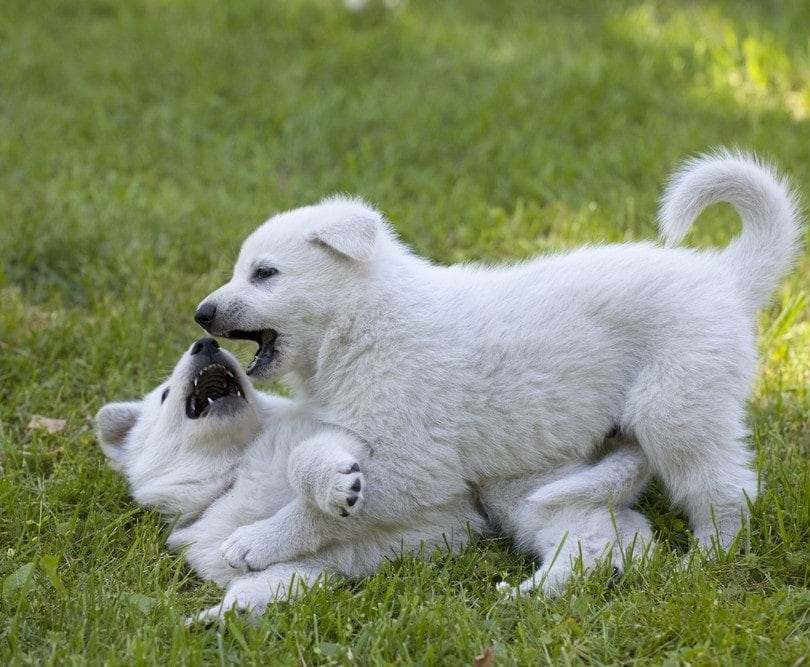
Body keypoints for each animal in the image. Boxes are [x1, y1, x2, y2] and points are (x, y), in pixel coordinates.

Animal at [194, 151, 800, 588]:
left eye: (264, 273)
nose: (202, 314)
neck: (365, 321)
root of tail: (724, 277)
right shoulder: (355, 428)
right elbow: (307, 459)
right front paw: (332, 487)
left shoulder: (421, 466)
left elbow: (322, 506)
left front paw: (256, 542)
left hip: (676, 407)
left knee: (726, 489)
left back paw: (706, 560)